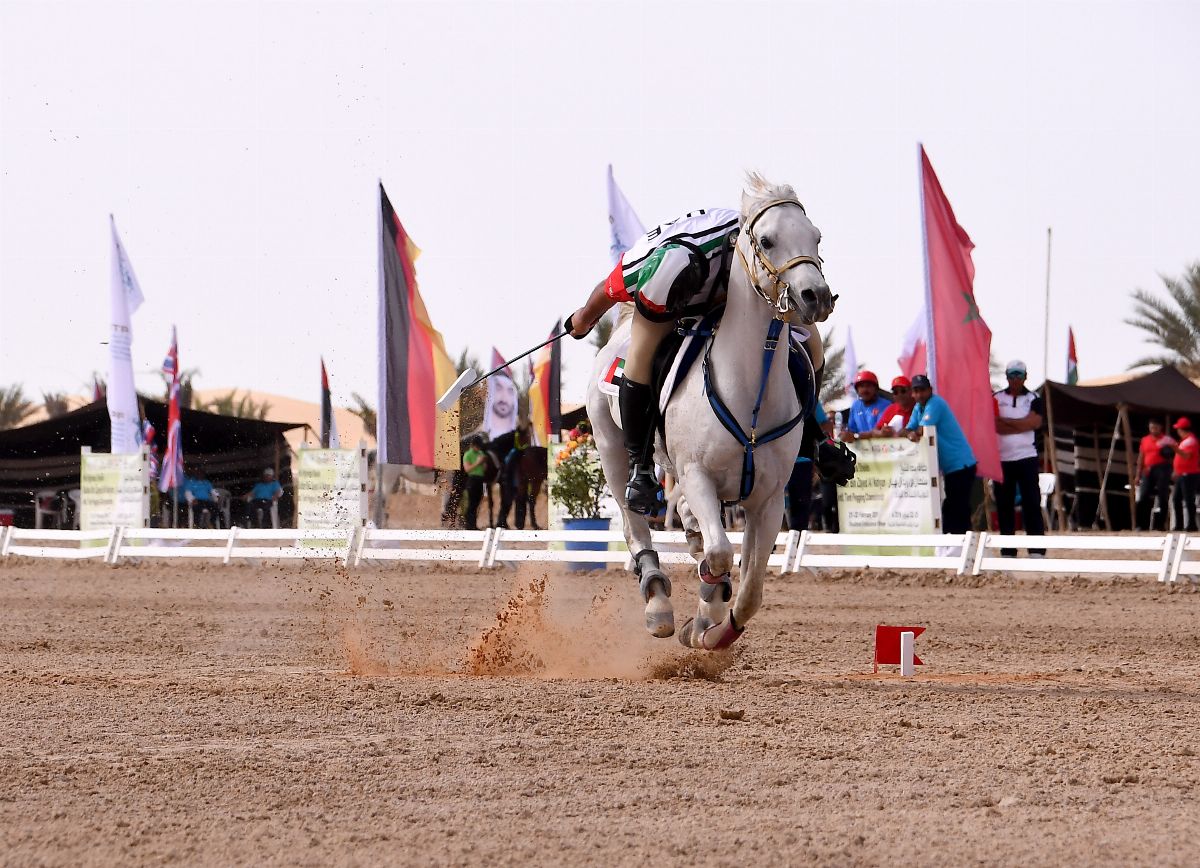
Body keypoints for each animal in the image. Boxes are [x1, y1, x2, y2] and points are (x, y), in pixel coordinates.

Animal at [583, 176, 830, 648]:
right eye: (767, 240)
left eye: (816, 236)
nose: (817, 297)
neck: (751, 393)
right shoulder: (698, 475)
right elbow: (719, 554)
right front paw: (703, 614)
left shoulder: (769, 500)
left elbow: (750, 590)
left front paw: (712, 631)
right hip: (611, 450)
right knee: (634, 522)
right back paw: (658, 602)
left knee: (683, 515)